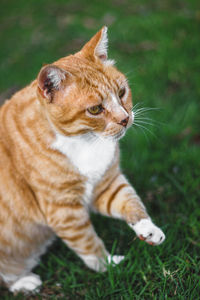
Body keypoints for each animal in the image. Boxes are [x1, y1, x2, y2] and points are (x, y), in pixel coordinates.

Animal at [0, 27, 165, 294]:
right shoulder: (64, 210)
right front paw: (108, 266)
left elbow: (132, 203)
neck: (86, 142)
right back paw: (25, 282)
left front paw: (148, 230)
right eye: (95, 109)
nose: (125, 119)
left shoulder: (106, 186)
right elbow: (88, 243)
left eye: (121, 93)